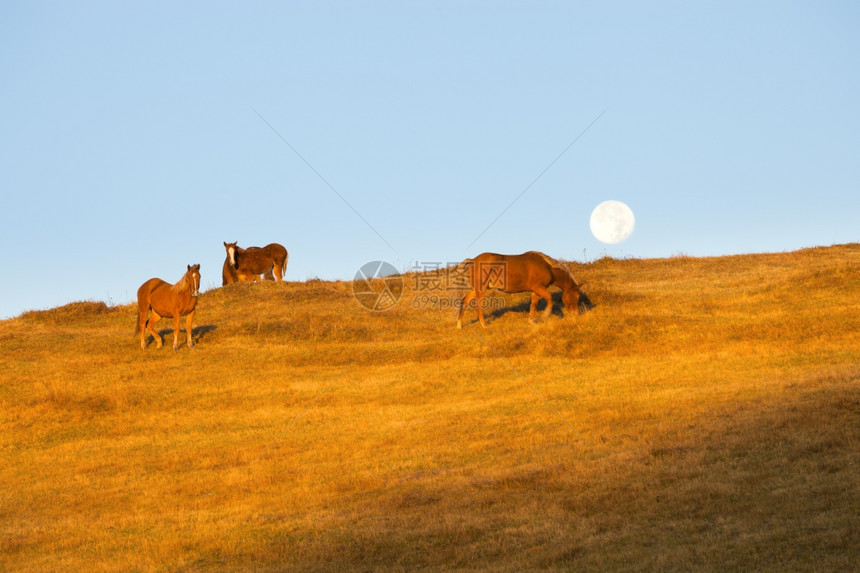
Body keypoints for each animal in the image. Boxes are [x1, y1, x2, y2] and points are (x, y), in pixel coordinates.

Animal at [454, 249, 588, 326]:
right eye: (577, 296)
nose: (576, 315)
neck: (547, 266)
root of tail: (472, 260)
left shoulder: (535, 291)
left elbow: (533, 305)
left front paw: (531, 321)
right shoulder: (539, 288)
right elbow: (550, 300)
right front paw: (544, 316)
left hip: (475, 289)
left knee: (465, 301)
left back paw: (459, 324)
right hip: (480, 289)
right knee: (478, 305)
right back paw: (484, 324)